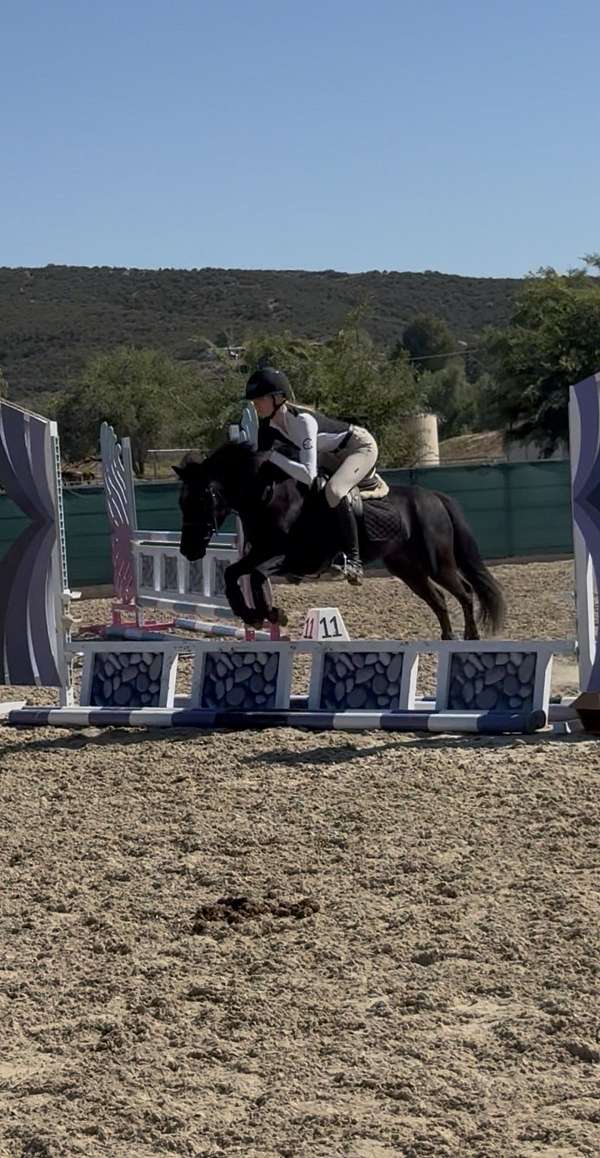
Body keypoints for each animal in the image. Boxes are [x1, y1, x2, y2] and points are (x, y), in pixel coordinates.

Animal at [174, 442, 506, 639]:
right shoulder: (265, 554)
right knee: (437, 598)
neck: (269, 496)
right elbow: (235, 574)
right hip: (407, 568)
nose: (188, 551)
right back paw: (447, 639)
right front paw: (256, 615)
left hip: (437, 563)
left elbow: (254, 576)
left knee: (464, 592)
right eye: (181, 501)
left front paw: (268, 614)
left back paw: (471, 637)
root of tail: (434, 497)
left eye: (202, 498)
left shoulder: (296, 558)